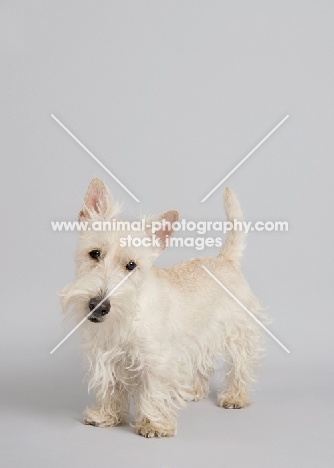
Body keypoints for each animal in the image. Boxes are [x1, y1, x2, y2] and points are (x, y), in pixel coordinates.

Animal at [60, 179, 264, 438]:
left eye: (131, 265)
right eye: (94, 253)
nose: (98, 306)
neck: (127, 316)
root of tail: (224, 260)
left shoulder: (158, 360)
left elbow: (153, 390)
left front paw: (154, 424)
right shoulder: (106, 356)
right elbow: (110, 386)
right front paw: (107, 415)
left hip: (238, 333)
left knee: (239, 365)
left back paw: (235, 396)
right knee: (203, 363)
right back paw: (194, 390)